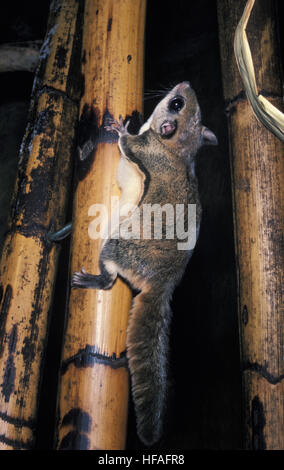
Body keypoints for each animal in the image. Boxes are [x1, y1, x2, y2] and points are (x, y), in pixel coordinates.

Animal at [71, 82, 217, 446]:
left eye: (176, 104)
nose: (185, 84)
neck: (176, 148)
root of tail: (163, 284)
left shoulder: (141, 148)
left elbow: (126, 141)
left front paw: (120, 127)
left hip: (118, 247)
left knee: (110, 277)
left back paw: (95, 280)